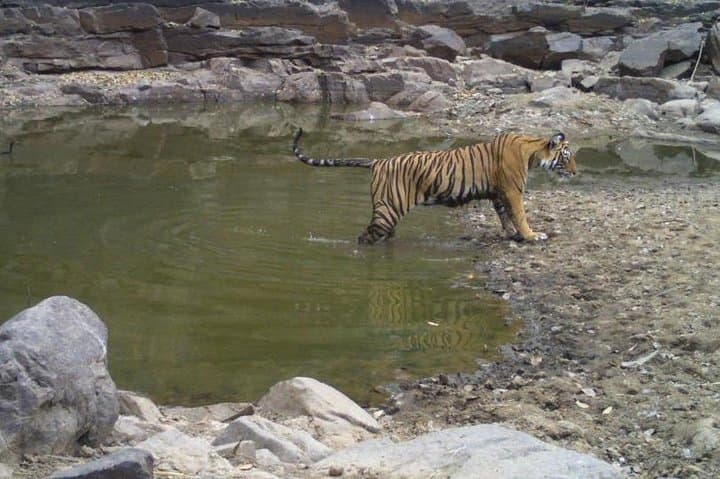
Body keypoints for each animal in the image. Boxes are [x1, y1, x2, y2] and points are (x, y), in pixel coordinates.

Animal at [292, 129, 576, 244]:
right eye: (566, 157)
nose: (575, 172)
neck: (532, 152)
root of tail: (378, 161)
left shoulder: (498, 193)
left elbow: (505, 216)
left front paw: (513, 235)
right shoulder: (512, 191)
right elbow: (519, 214)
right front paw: (531, 236)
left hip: (387, 211)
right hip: (387, 211)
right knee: (364, 238)